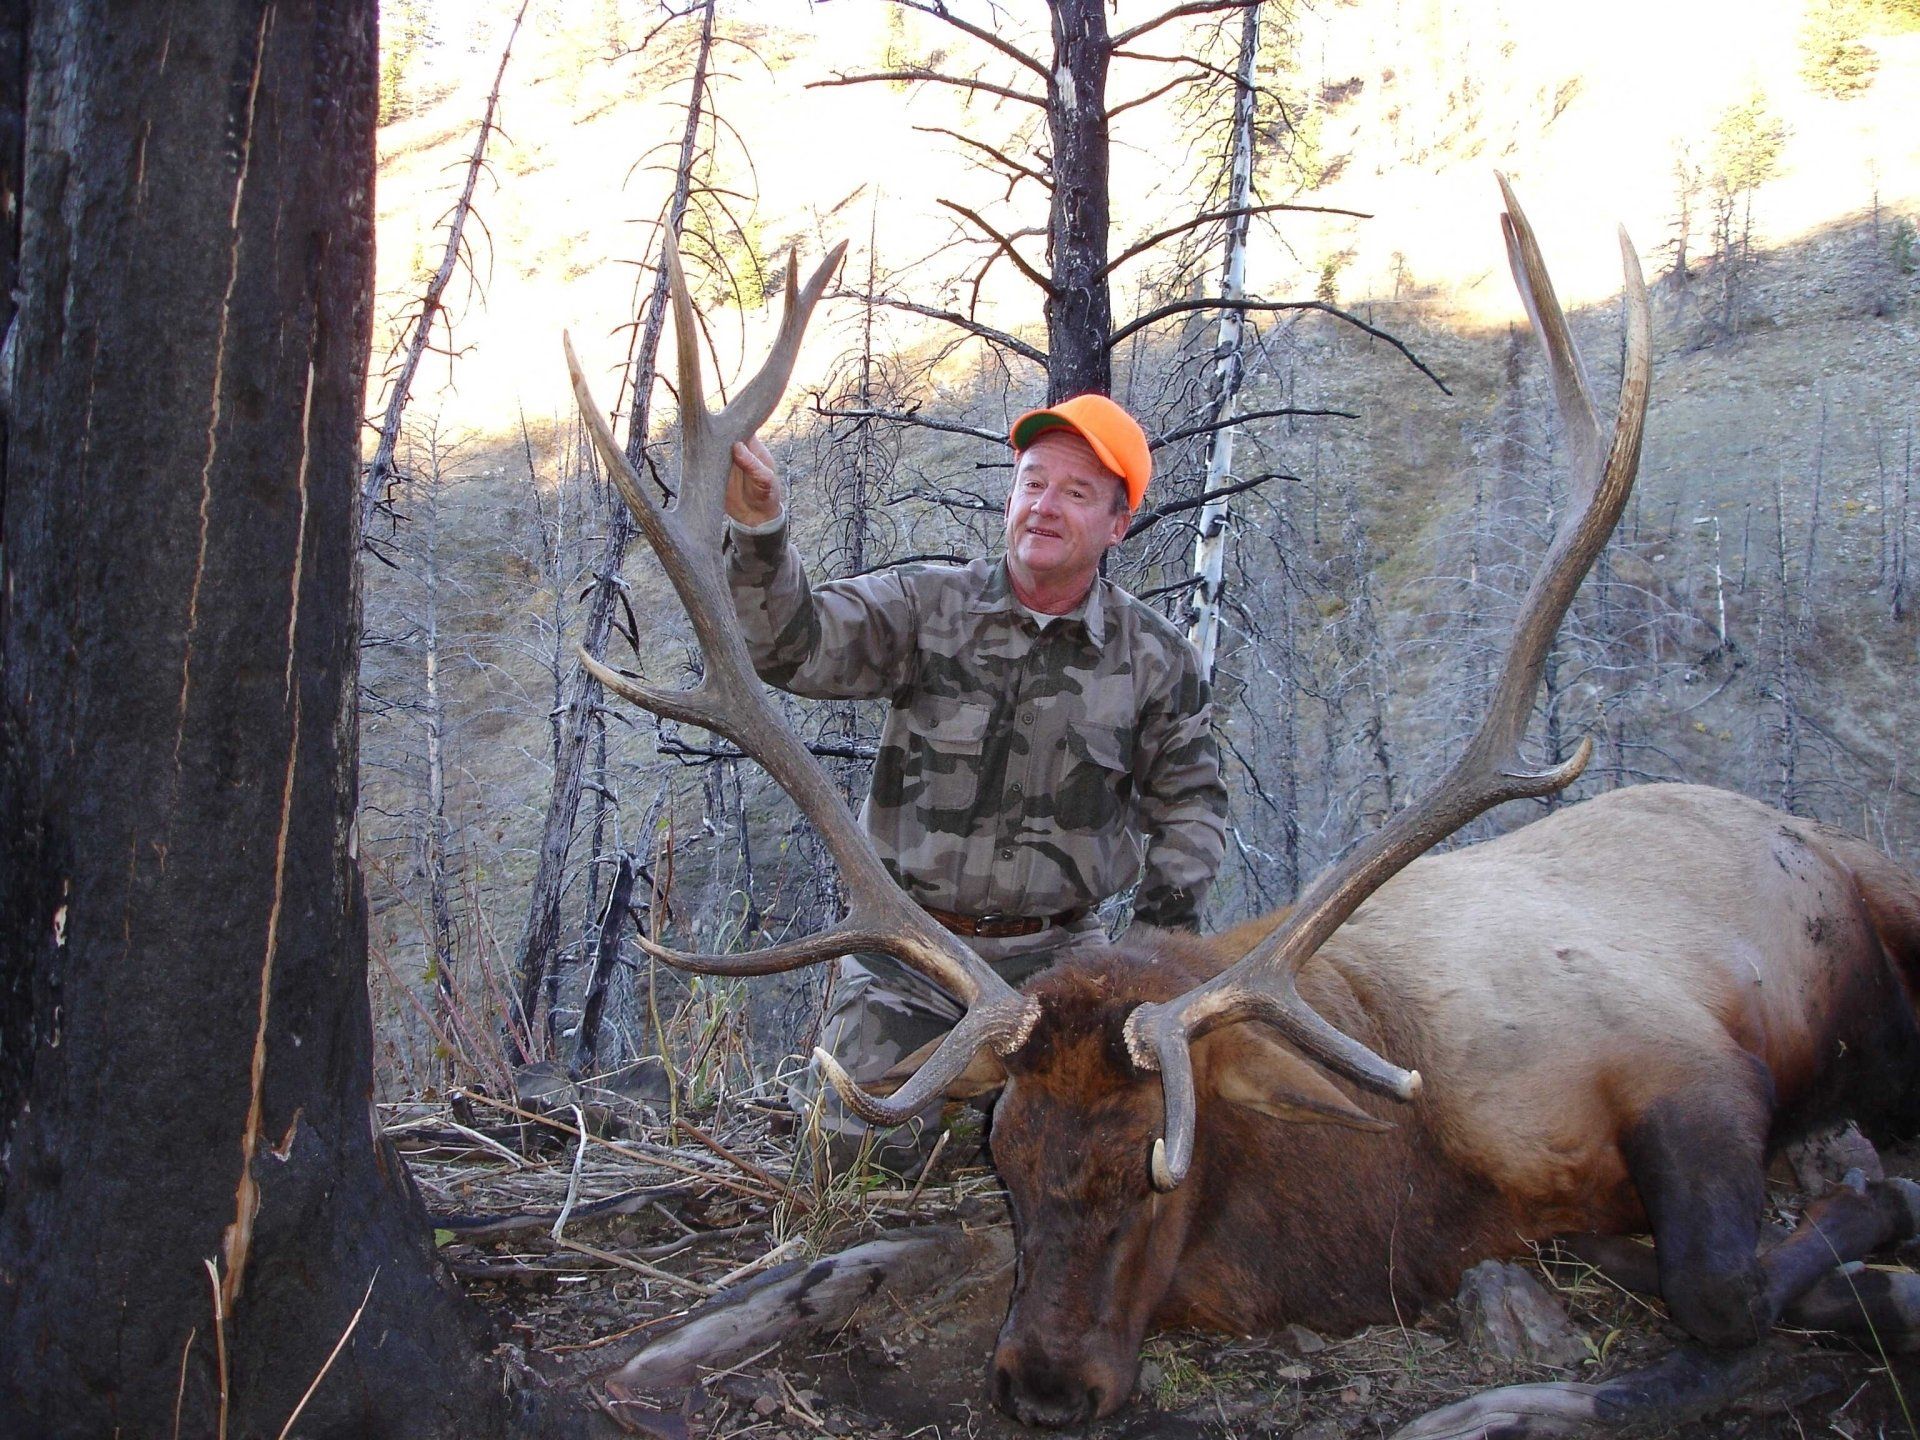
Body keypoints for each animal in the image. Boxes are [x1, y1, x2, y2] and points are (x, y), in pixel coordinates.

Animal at [561, 180, 1920, 1434]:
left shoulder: (1676, 1063)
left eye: (1157, 1167)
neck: (1418, 1184)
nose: (1040, 1387)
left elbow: (1722, 1296)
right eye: (1007, 1155)